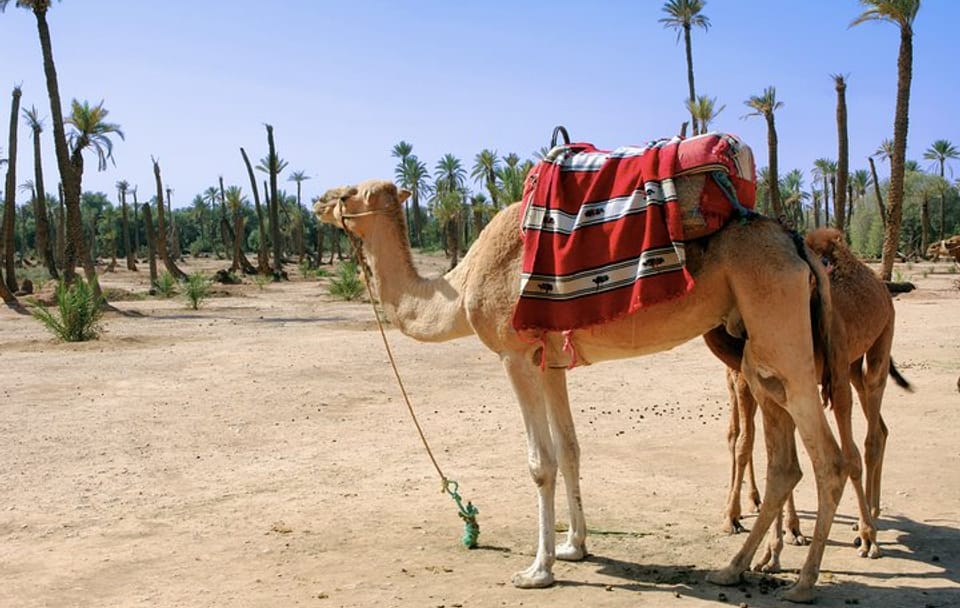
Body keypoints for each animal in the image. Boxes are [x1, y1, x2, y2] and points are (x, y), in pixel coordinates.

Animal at [315, 179, 848, 602]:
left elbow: (540, 462)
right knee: (785, 462)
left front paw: (538, 569)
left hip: (780, 328)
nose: (318, 200)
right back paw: (734, 568)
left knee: (830, 459)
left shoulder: (514, 355)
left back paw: (803, 583)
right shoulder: (550, 362)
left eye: (349, 193)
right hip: (757, 348)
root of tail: (797, 244)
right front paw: (575, 546)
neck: (462, 287)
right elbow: (570, 449)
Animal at [706, 227, 911, 566]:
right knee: (878, 428)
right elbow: (761, 448)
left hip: (878, 344)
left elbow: (844, 456)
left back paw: (869, 528)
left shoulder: (819, 374)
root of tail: (881, 286)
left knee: (871, 435)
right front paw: (773, 547)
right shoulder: (765, 381)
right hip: (850, 366)